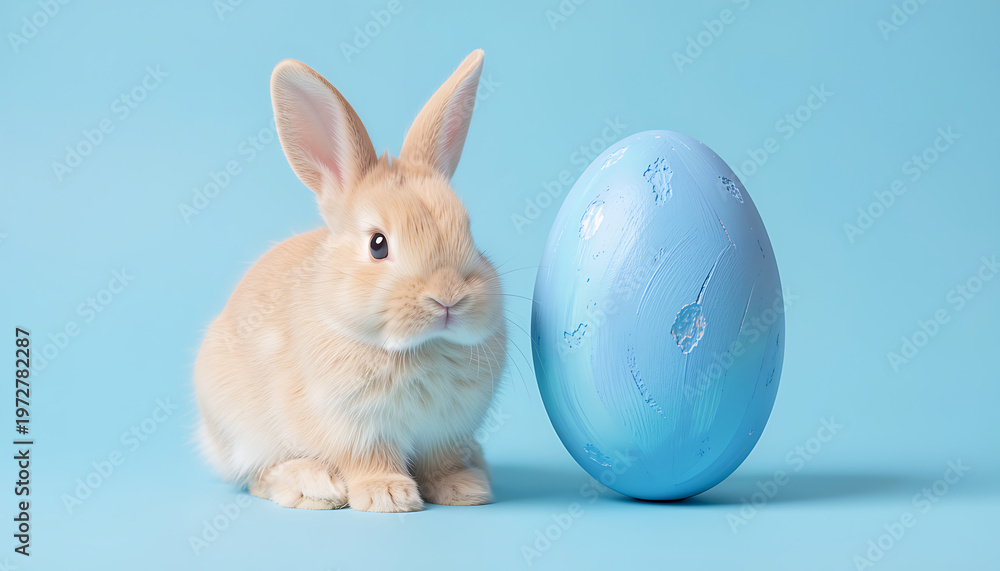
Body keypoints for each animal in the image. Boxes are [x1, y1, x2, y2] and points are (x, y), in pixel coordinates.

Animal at [193, 50, 506, 513]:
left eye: (469, 231)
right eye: (378, 245)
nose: (448, 298)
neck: (419, 348)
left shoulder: (446, 432)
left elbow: (441, 463)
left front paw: (464, 490)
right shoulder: (355, 428)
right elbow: (369, 461)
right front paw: (389, 496)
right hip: (242, 431)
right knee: (258, 476)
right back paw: (314, 487)